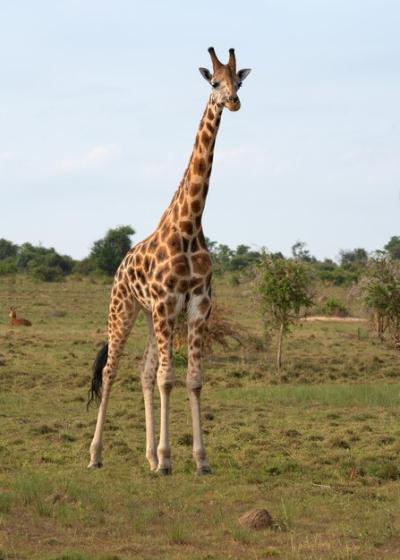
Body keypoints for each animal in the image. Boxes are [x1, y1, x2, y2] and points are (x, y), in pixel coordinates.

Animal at [88, 47, 250, 472]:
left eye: (239, 81)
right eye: (214, 82)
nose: (233, 102)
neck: (190, 226)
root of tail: (120, 267)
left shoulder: (196, 305)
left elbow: (192, 378)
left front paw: (199, 460)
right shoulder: (165, 304)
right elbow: (168, 378)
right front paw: (166, 460)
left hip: (148, 316)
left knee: (143, 372)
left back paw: (145, 455)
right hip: (125, 308)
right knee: (112, 370)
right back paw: (95, 455)